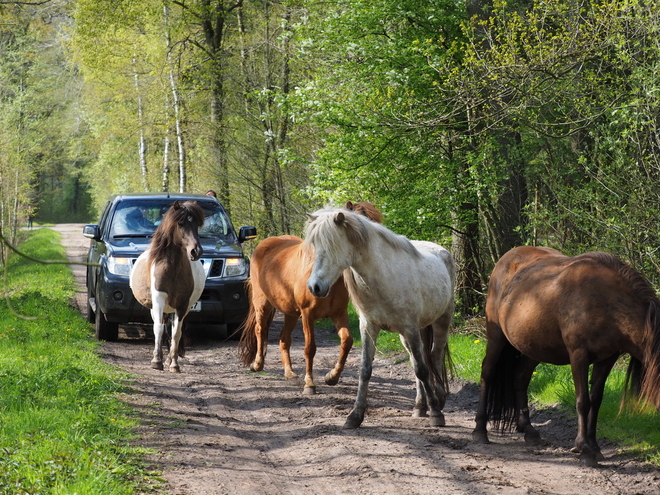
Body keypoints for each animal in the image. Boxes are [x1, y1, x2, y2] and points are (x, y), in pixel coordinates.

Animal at [131, 201, 206, 372]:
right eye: (181, 223)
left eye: (197, 225)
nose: (196, 251)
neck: (172, 270)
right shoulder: (159, 300)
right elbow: (158, 329)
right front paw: (156, 361)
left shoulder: (183, 305)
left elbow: (176, 333)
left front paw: (174, 364)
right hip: (156, 307)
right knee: (160, 327)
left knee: (173, 330)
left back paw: (169, 359)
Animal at [237, 202, 382, 396]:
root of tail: (264, 244)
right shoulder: (307, 314)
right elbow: (309, 349)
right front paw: (309, 384)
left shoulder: (338, 313)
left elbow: (347, 341)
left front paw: (332, 377)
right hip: (263, 304)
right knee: (260, 330)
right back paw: (257, 364)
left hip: (290, 312)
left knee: (284, 339)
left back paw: (290, 374)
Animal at [302, 207, 454, 428]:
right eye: (315, 245)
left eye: (333, 245)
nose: (314, 287)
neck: (383, 278)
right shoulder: (370, 327)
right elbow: (365, 369)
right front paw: (355, 415)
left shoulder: (410, 327)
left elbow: (422, 369)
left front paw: (436, 413)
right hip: (408, 335)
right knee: (417, 359)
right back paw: (419, 407)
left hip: (441, 321)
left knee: (434, 356)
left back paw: (438, 399)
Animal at [472, 248, 660, 468]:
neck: (604, 300)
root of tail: (507, 257)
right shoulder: (578, 355)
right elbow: (583, 401)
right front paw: (585, 449)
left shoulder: (607, 359)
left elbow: (596, 400)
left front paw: (594, 446)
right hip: (496, 337)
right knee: (487, 373)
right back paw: (480, 430)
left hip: (533, 347)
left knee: (520, 378)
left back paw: (529, 430)